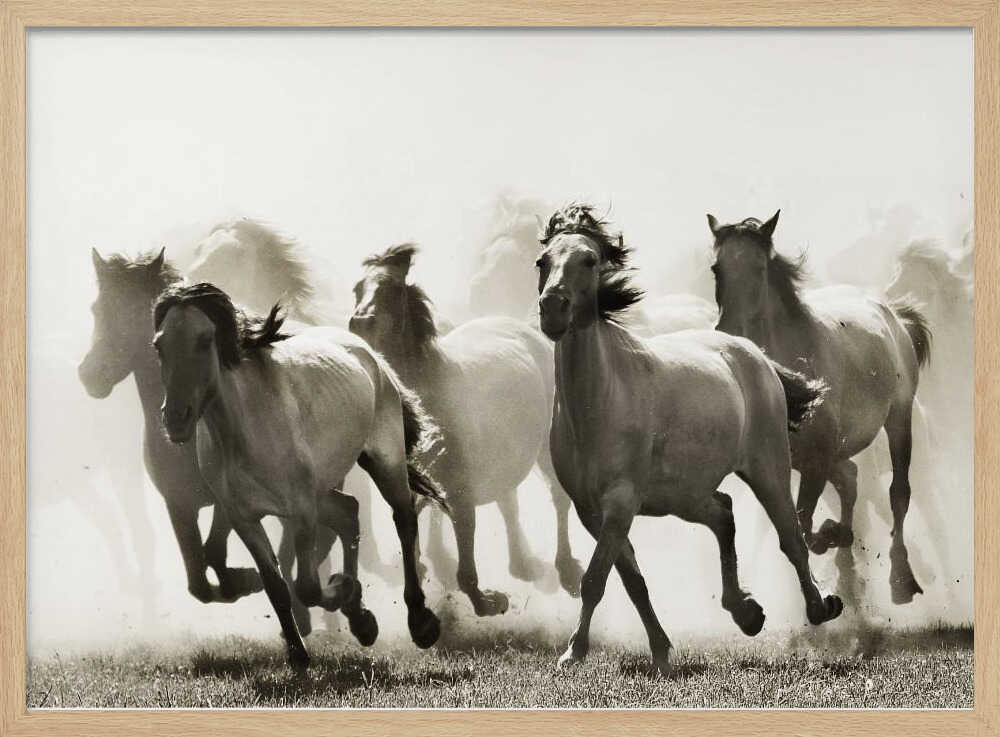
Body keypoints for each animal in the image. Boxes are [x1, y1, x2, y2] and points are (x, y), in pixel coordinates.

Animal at [153, 282, 444, 666]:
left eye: (205, 339)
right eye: (159, 345)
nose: (175, 419)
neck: (245, 431)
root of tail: (370, 354)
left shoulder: (301, 510)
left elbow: (305, 586)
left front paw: (340, 589)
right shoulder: (243, 518)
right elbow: (276, 586)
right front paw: (299, 653)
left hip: (385, 461)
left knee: (404, 519)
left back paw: (420, 622)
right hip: (323, 489)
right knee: (349, 512)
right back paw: (361, 621)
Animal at [350, 243, 584, 616]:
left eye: (391, 290)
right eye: (357, 289)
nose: (358, 323)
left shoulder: (461, 490)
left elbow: (465, 559)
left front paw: (487, 601)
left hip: (545, 450)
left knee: (558, 499)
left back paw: (566, 571)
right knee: (508, 501)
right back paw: (523, 565)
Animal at [535, 204, 841, 675]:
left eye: (588, 260)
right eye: (542, 262)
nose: (552, 308)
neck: (599, 402)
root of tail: (753, 353)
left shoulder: (620, 503)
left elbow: (594, 580)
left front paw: (573, 652)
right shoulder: (592, 511)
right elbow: (632, 581)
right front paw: (661, 651)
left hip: (767, 468)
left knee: (792, 538)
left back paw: (820, 606)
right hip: (684, 495)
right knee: (724, 513)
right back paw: (746, 612)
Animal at [708, 211, 932, 606]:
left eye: (759, 268)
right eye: (717, 269)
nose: (729, 331)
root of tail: (893, 314)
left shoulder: (817, 458)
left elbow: (804, 523)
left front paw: (831, 537)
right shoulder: (793, 462)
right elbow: (804, 522)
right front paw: (836, 538)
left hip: (899, 419)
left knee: (898, 493)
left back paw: (900, 579)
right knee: (851, 479)